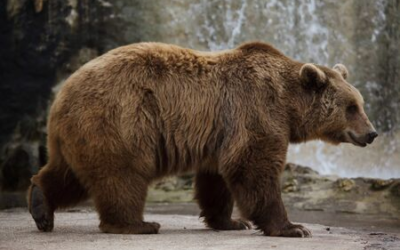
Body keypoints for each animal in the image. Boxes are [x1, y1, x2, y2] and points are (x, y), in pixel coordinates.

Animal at [26, 41, 376, 236]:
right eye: (351, 107)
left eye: (360, 103)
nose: (371, 133)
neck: (288, 105)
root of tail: (61, 96)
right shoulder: (256, 110)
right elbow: (254, 166)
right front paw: (293, 227)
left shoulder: (221, 132)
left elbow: (217, 179)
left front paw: (231, 221)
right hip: (118, 121)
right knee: (122, 176)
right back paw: (137, 224)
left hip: (80, 134)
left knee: (68, 175)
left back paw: (41, 207)